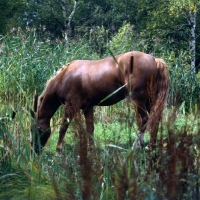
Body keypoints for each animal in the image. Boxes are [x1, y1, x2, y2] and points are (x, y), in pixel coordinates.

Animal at [30, 50, 169, 154]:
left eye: (35, 130)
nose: (34, 150)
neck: (65, 77)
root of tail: (154, 60)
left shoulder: (71, 107)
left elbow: (63, 128)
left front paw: (58, 151)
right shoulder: (87, 107)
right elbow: (90, 129)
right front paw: (91, 150)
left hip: (138, 100)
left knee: (144, 120)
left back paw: (137, 146)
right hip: (150, 101)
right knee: (155, 119)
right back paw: (150, 146)